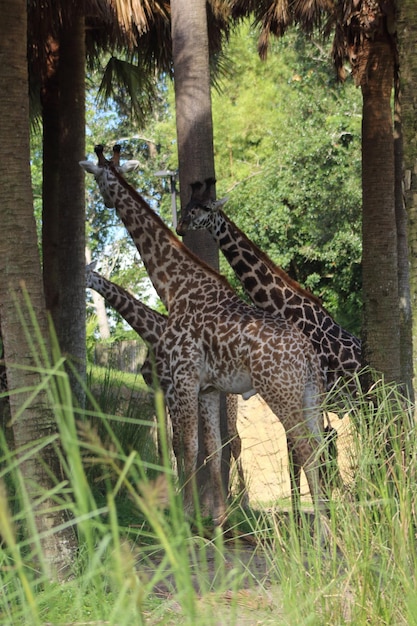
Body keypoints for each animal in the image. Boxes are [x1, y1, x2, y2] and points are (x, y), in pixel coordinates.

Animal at [85, 260, 247, 500]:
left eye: (86, 273)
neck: (151, 336)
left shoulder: (171, 388)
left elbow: (177, 442)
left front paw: (180, 492)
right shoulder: (156, 391)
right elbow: (164, 443)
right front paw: (168, 490)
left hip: (229, 401)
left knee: (235, 440)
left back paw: (242, 498)